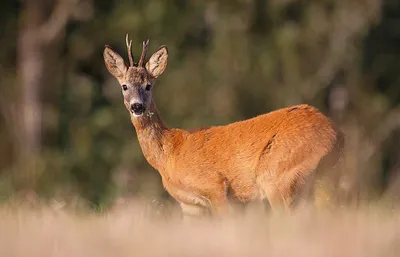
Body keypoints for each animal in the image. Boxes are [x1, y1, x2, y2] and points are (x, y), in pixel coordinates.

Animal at [103, 34, 344, 218]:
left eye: (148, 86)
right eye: (124, 86)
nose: (137, 106)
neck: (170, 153)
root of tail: (336, 133)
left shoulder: (215, 186)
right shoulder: (190, 205)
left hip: (278, 176)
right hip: (320, 179)